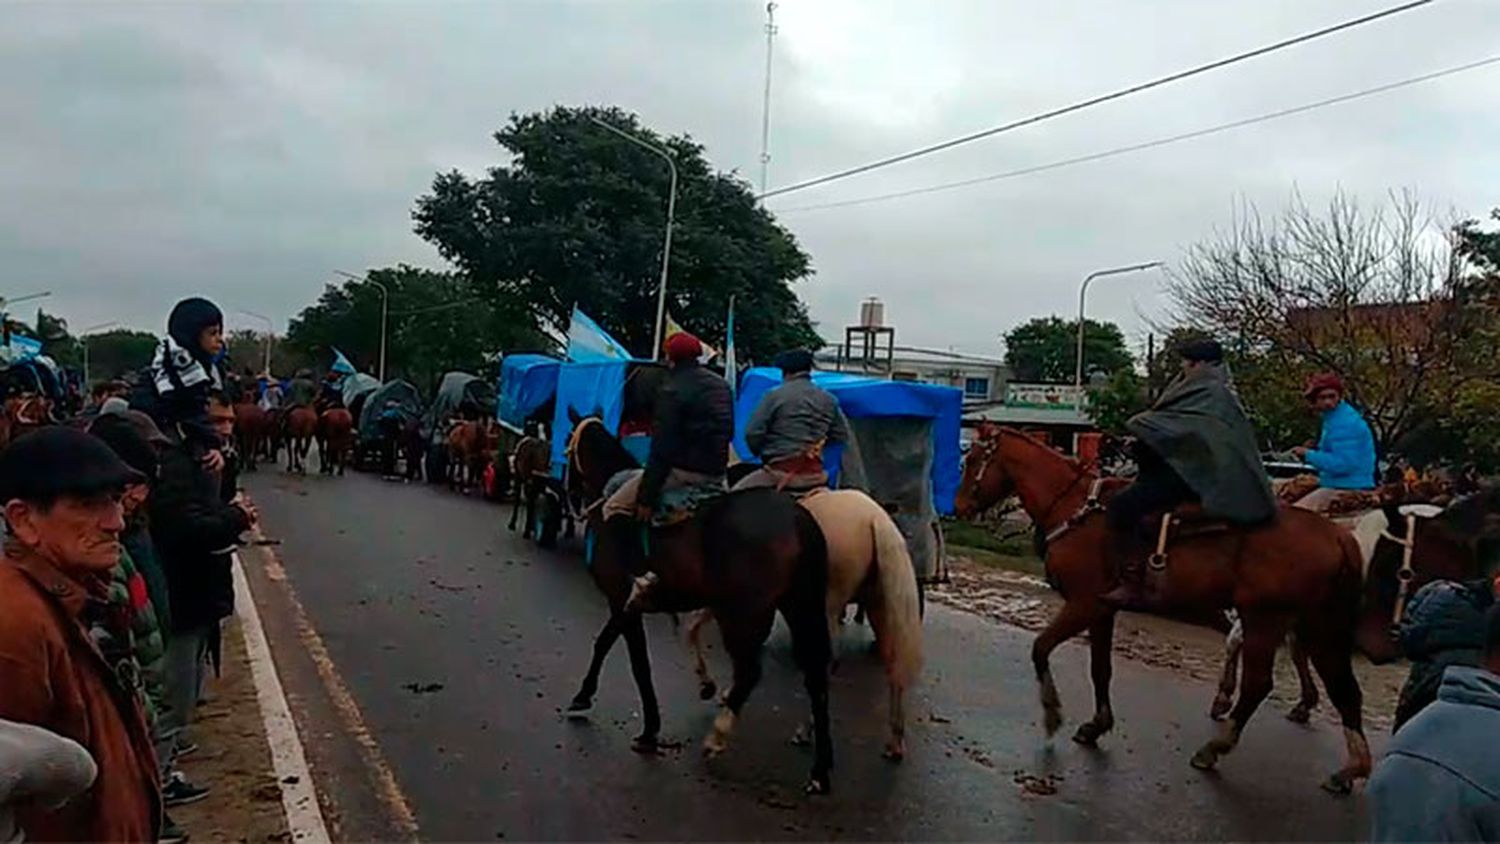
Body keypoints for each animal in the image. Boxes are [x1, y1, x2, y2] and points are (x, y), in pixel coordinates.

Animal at [564, 419, 840, 797]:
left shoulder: (621, 599)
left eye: (566, 444)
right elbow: (617, 647)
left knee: (750, 672)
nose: (570, 495)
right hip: (798, 607)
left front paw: (633, 720)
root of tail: (798, 517)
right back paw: (820, 770)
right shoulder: (628, 605)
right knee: (815, 676)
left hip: (742, 614)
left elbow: (625, 655)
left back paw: (718, 736)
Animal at [684, 488, 918, 758]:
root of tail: (876, 519)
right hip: (878, 606)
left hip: (825, 605)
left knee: (824, 663)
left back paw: (806, 731)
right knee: (893, 666)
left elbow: (693, 629)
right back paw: (895, 743)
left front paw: (709, 687)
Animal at [960, 428, 1374, 791]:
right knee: (1344, 689)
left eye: (973, 459)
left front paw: (1052, 715)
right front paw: (1097, 725)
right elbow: (1100, 669)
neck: (1076, 508)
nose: (959, 506)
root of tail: (1339, 535)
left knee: (1259, 684)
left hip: (1265, 620)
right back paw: (1350, 768)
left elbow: (1041, 648)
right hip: (1318, 627)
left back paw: (1214, 748)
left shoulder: (1083, 604)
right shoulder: (1102, 610)